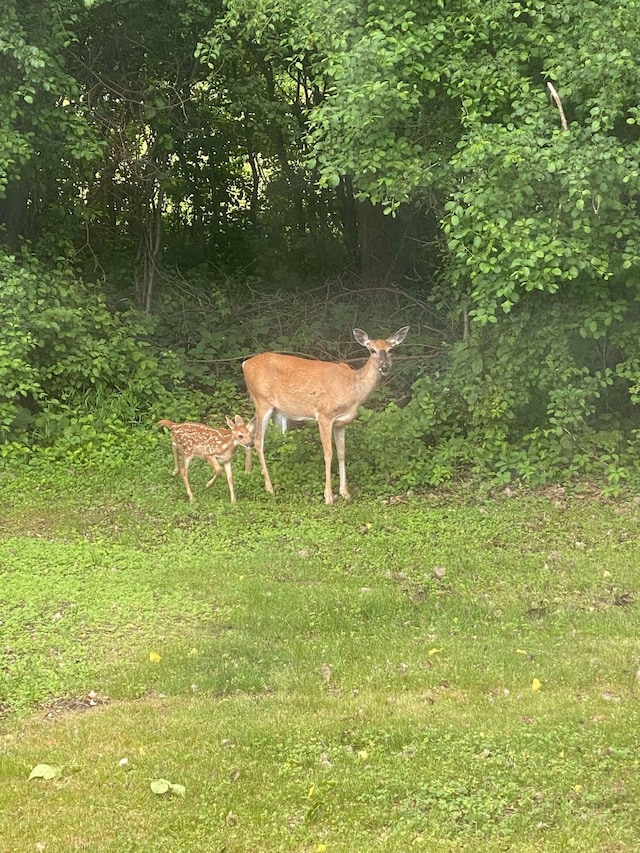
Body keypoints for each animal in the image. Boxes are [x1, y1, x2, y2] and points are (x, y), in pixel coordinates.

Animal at [242, 324, 408, 500]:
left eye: (391, 349)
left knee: (248, 428)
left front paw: (345, 492)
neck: (351, 389)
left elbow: (341, 453)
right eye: (372, 350)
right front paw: (328, 496)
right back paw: (269, 487)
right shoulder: (324, 415)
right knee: (258, 440)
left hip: (266, 405)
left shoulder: (341, 422)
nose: (384, 367)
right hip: (262, 401)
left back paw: (248, 472)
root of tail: (245, 364)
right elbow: (328, 454)